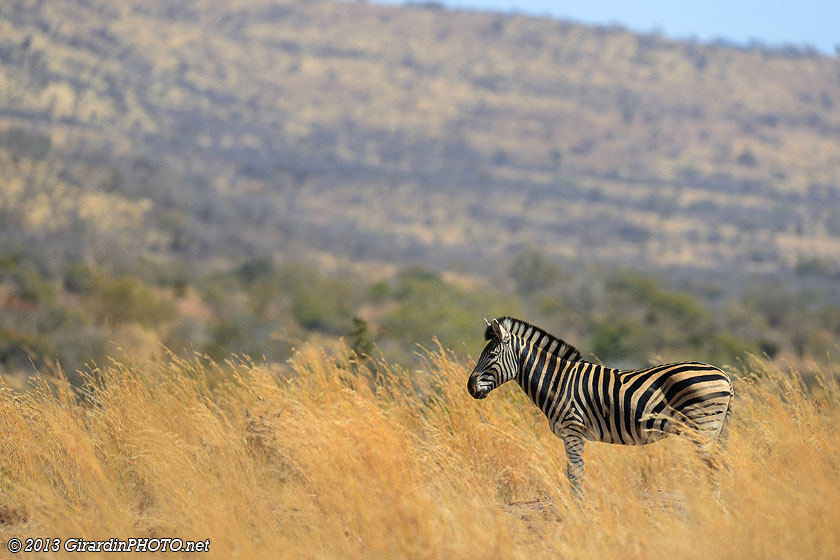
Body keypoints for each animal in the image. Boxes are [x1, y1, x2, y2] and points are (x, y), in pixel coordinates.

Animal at [467, 317, 733, 497]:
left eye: (492, 355)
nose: (469, 387)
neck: (557, 381)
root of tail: (724, 376)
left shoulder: (573, 430)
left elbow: (574, 473)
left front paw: (577, 509)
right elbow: (574, 472)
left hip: (702, 428)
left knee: (713, 467)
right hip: (712, 430)